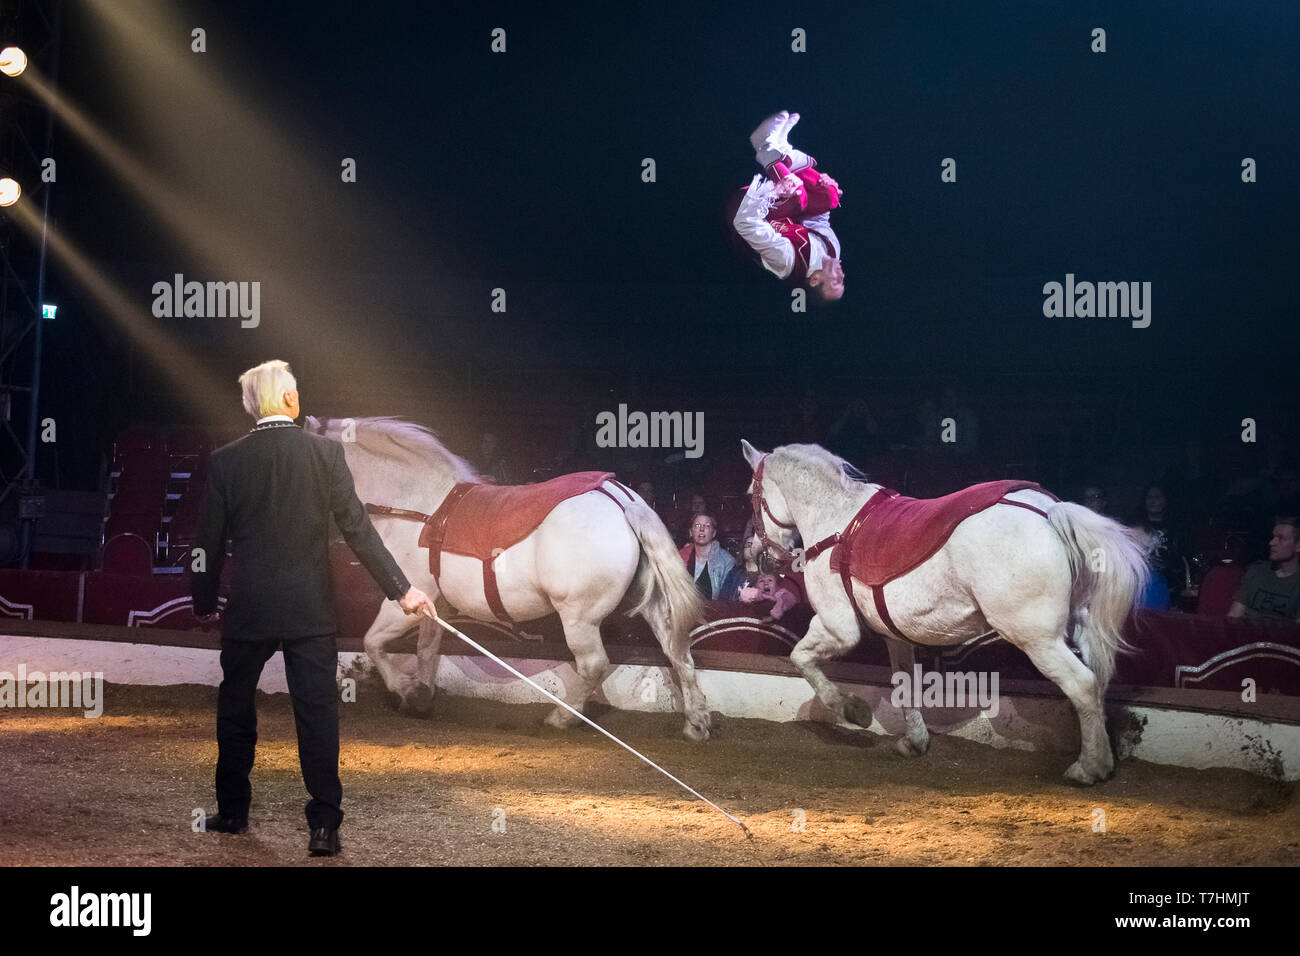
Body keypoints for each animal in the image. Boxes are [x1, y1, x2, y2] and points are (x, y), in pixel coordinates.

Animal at [304, 416, 712, 738]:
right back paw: (696, 722)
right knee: (678, 652)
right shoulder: (435, 607)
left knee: (594, 665)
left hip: (578, 618)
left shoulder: (406, 600)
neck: (420, 509)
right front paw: (421, 695)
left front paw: (404, 692)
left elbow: (373, 642)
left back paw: (561, 718)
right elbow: (426, 650)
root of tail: (619, 497)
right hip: (650, 604)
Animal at [743, 442, 1149, 785]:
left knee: (1082, 685)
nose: (757, 557)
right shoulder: (894, 636)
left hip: (1038, 639)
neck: (836, 520)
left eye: (750, 495)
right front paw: (914, 742)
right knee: (1097, 684)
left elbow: (800, 659)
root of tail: (1048, 512)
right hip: (1077, 630)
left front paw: (851, 709)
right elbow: (904, 684)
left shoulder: (836, 627)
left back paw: (1089, 767)